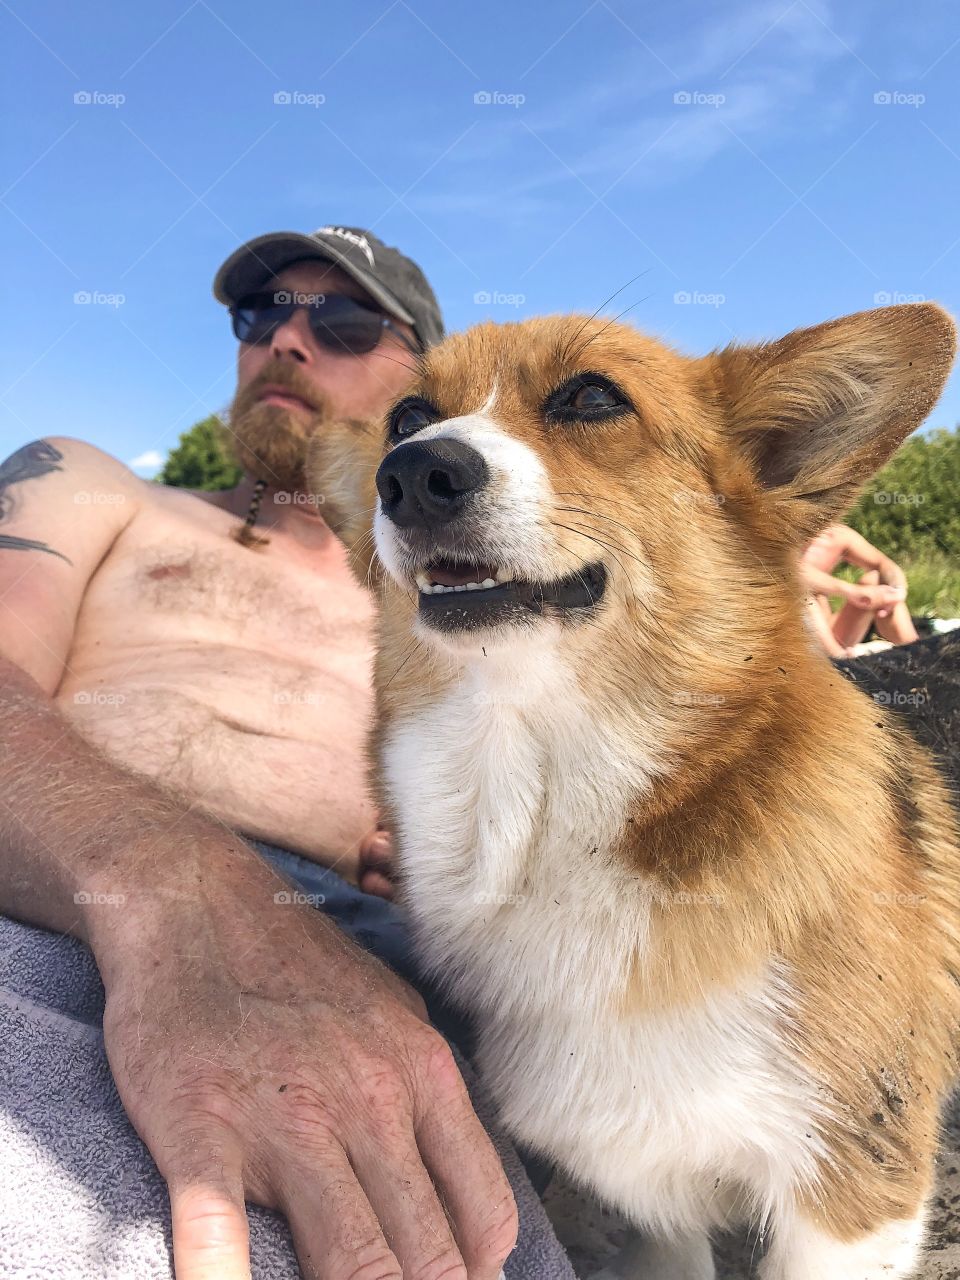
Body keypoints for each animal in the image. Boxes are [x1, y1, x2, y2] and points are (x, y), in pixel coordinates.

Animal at [305, 302, 960, 1280]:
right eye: (406, 417)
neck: (539, 794)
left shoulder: (852, 1194)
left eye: (592, 397)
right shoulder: (649, 1190)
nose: (414, 474)